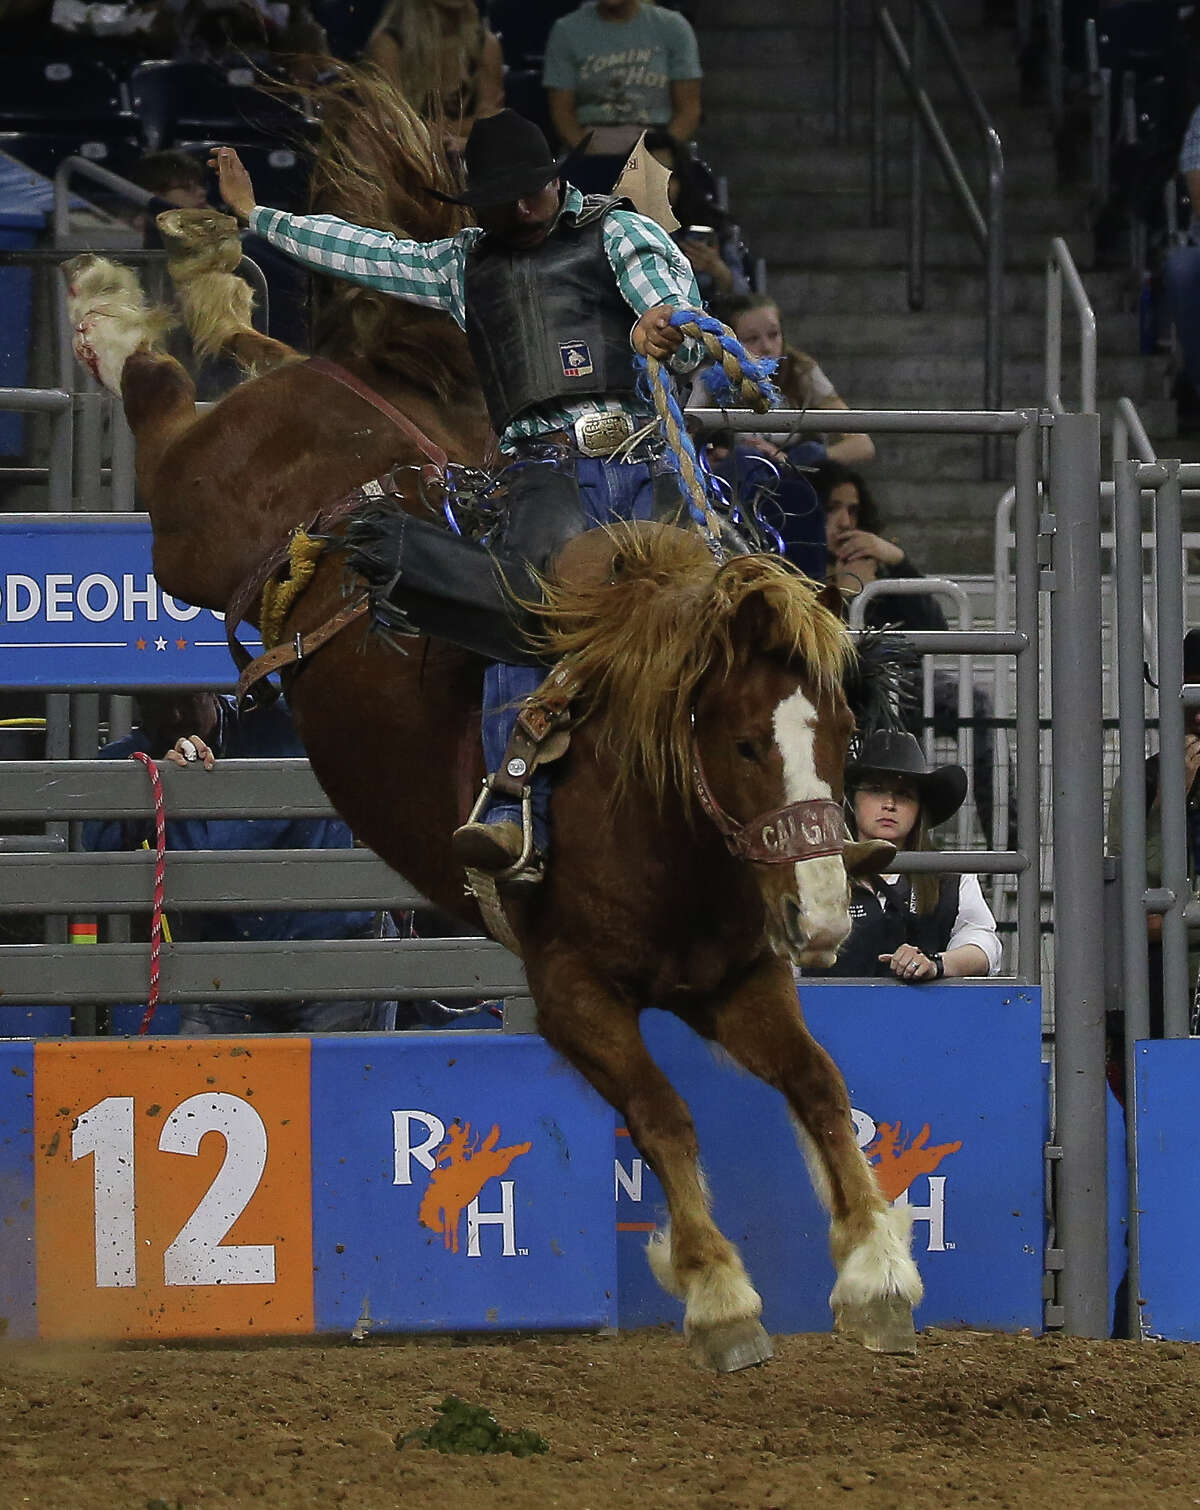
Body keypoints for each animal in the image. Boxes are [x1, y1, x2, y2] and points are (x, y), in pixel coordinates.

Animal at [61, 70, 923, 1371]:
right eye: (736, 744)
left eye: (831, 740)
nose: (823, 913)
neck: (652, 813)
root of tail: (335, 405)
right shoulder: (568, 989)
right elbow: (662, 1112)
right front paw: (719, 1293)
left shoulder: (739, 976)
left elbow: (821, 1087)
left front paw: (876, 1273)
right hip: (189, 519)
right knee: (163, 395)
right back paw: (119, 303)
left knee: (234, 351)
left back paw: (205, 275)